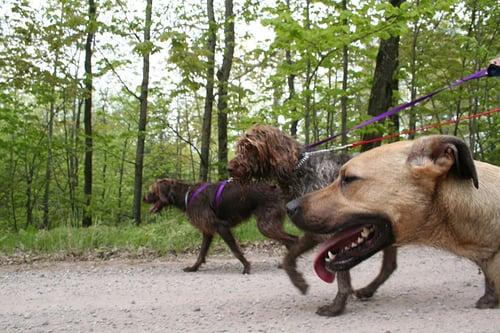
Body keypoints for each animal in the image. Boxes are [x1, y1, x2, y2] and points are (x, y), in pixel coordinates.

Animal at [143, 178, 296, 274]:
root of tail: (277, 189)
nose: (144, 198)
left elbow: (235, 251)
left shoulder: (221, 226)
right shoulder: (207, 231)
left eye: (151, 191)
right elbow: (201, 253)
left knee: (292, 239)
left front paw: (246, 267)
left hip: (266, 225)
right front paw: (194, 268)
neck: (186, 195)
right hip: (270, 224)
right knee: (289, 240)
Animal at [228, 123, 398, 316]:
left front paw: (336, 306)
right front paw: (299, 282)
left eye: (250, 147)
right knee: (389, 265)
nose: (229, 168)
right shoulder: (314, 231)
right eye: (240, 147)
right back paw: (368, 290)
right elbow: (289, 257)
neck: (299, 170)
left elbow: (340, 274)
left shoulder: (330, 232)